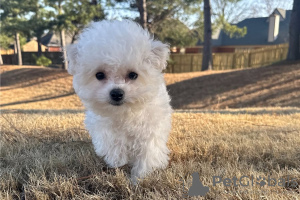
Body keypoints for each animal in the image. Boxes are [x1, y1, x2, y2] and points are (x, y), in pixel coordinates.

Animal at [67, 19, 172, 182]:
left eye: (133, 75)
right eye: (99, 75)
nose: (116, 93)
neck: (124, 113)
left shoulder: (151, 129)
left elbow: (147, 153)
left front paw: (140, 177)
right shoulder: (101, 124)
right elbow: (111, 141)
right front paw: (117, 159)